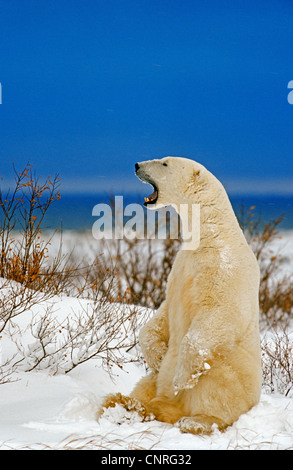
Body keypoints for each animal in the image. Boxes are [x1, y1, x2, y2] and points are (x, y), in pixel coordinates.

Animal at [98, 157, 260, 434]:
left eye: (164, 163)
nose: (137, 165)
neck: (210, 236)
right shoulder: (180, 268)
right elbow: (162, 314)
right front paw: (157, 355)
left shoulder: (223, 269)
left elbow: (219, 313)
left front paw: (181, 378)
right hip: (154, 385)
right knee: (148, 384)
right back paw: (124, 406)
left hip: (232, 372)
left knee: (216, 385)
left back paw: (197, 420)